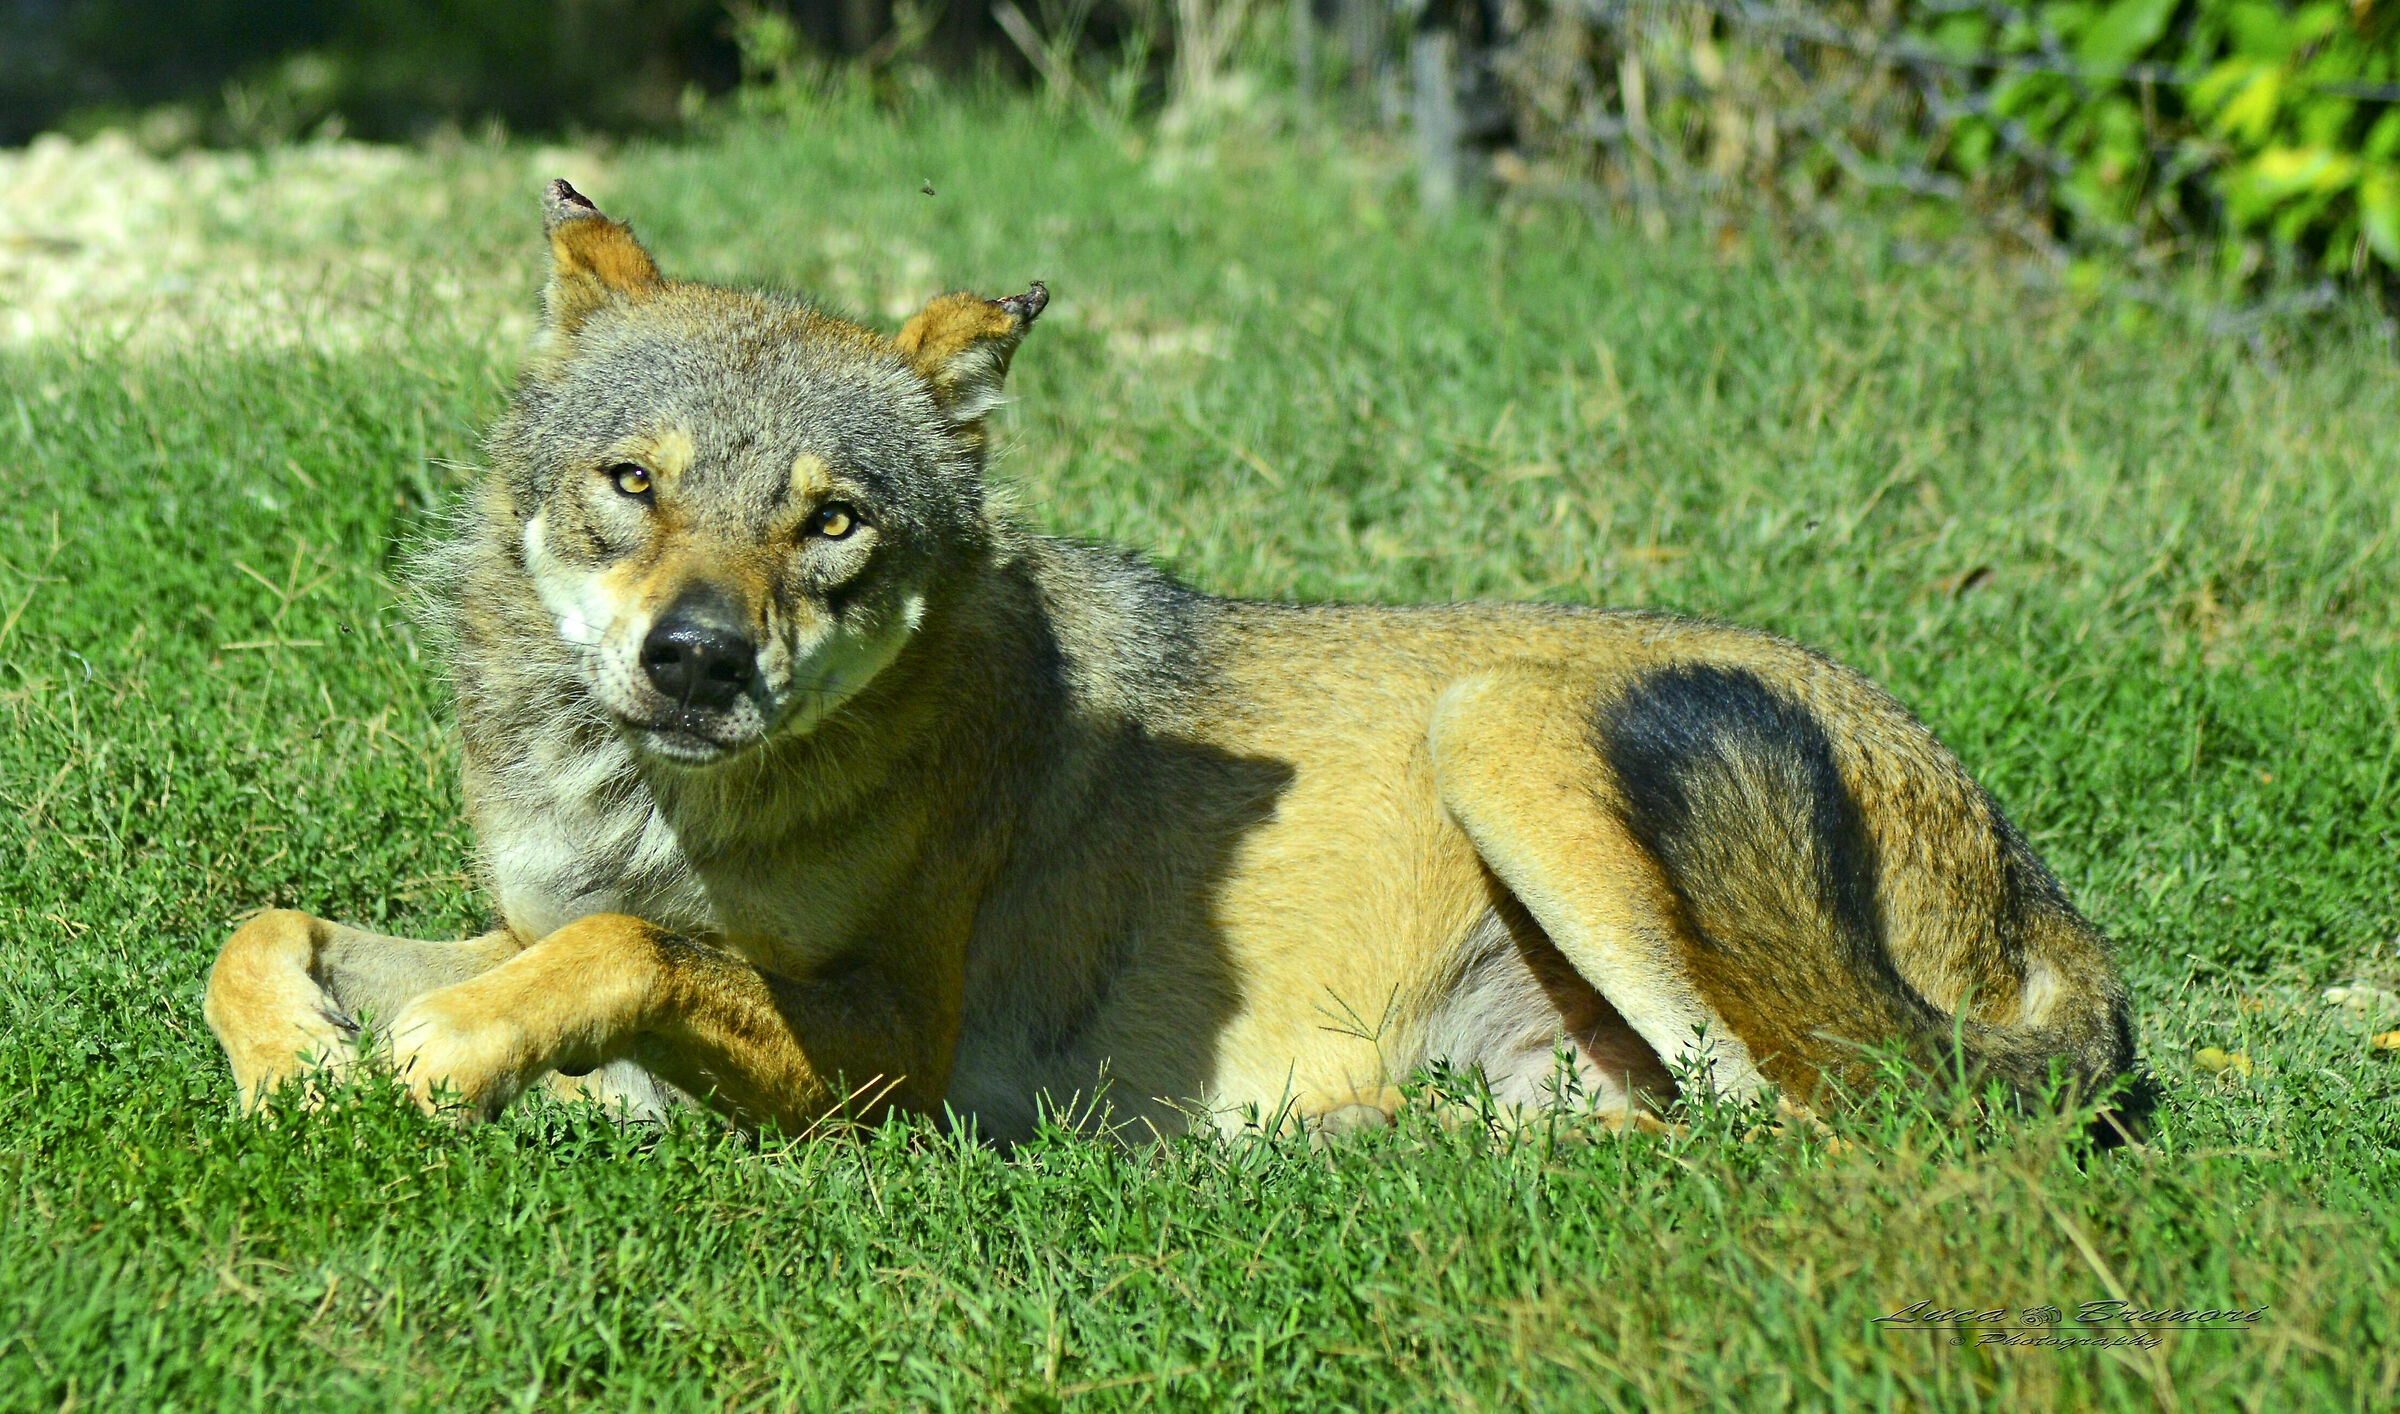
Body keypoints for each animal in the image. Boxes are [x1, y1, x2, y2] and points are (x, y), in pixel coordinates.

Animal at [204, 180, 2140, 1142]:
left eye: (831, 521)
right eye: (633, 484)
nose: (694, 660)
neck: (660, 802)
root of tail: (2055, 907)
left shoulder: (886, 1054)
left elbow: (627, 951)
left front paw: (444, 1057)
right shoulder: (526, 916)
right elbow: (267, 925)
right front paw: (306, 1069)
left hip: (1508, 727)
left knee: (1829, 1126)